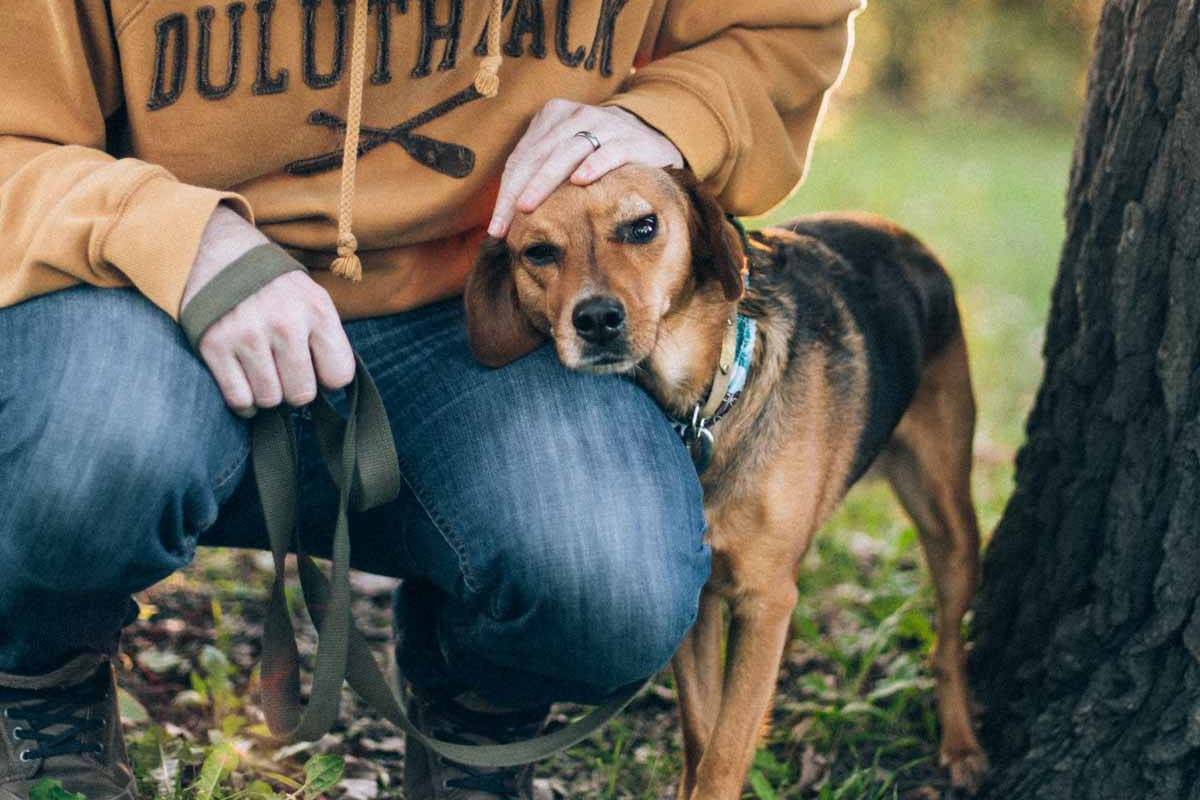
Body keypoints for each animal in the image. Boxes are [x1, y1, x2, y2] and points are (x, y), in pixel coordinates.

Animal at [458, 165, 984, 796]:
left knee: (948, 646)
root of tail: (903, 237)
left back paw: (961, 748)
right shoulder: (700, 601)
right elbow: (699, 732)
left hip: (948, 522)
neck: (700, 410)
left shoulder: (766, 602)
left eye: (643, 227)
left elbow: (726, 752)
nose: (596, 320)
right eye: (537, 252)